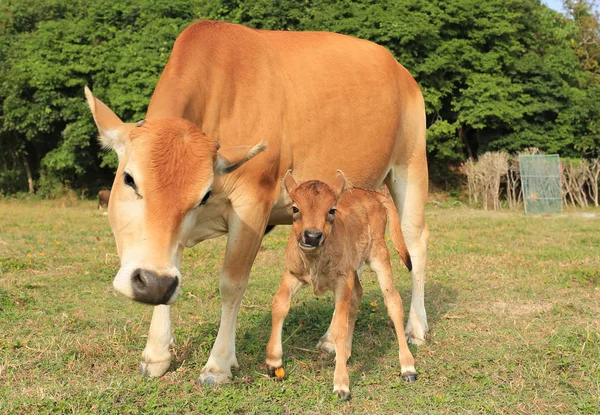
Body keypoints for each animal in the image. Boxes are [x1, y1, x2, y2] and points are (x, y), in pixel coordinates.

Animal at [268, 171, 418, 400]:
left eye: (331, 210)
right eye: (295, 208)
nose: (312, 236)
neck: (315, 259)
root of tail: (372, 194)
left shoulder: (341, 280)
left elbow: (339, 325)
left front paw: (341, 384)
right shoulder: (292, 273)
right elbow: (279, 305)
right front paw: (273, 362)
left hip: (379, 256)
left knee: (393, 302)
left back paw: (408, 367)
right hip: (353, 269)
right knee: (357, 296)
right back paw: (345, 354)